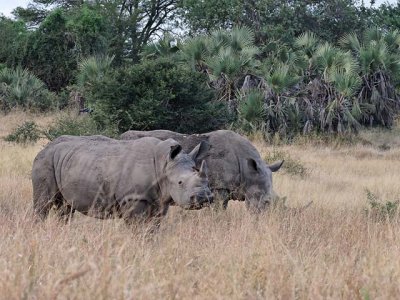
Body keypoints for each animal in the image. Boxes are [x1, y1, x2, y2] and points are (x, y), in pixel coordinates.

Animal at [32, 136, 212, 223]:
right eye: (180, 182)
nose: (205, 198)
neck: (164, 164)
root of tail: (45, 148)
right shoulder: (132, 198)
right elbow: (139, 227)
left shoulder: (160, 200)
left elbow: (153, 228)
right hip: (44, 161)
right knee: (43, 204)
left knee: (64, 208)